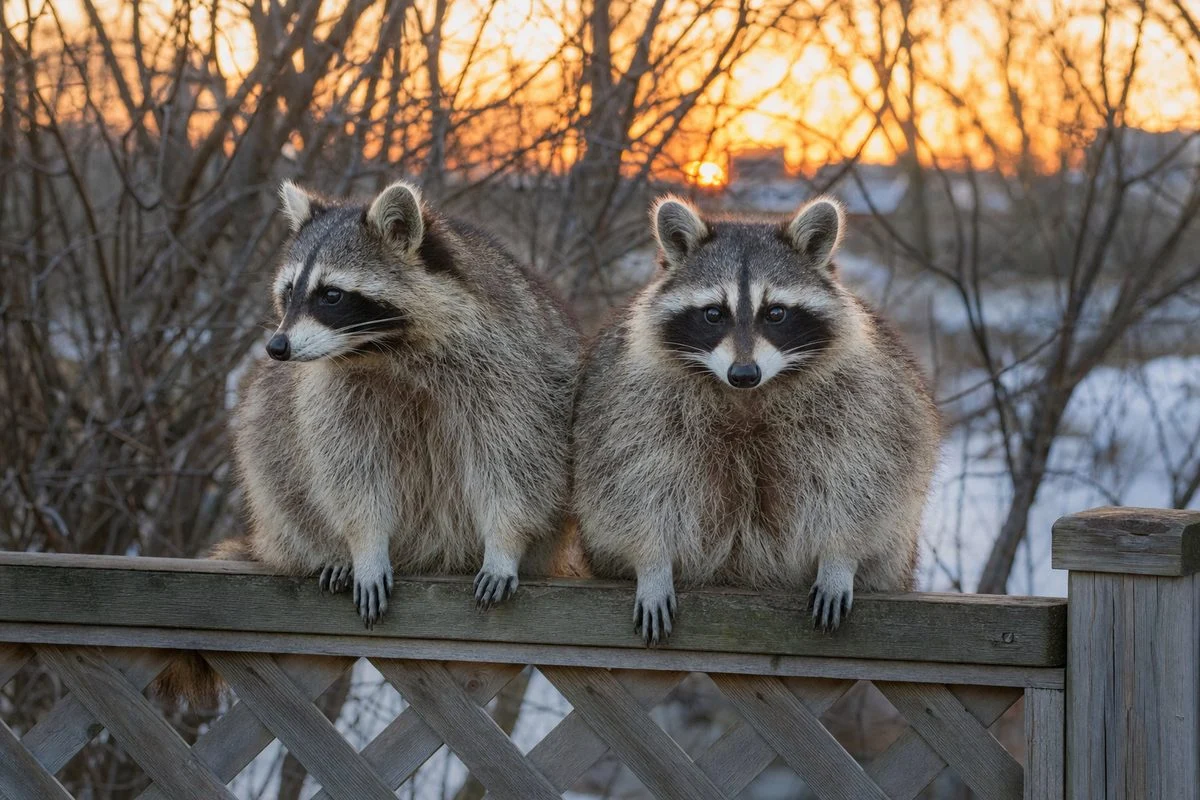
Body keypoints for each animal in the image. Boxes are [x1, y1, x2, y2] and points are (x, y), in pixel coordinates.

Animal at [573, 195, 939, 644]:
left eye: (775, 313)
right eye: (714, 314)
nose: (744, 373)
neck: (745, 397)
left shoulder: (867, 399)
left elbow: (863, 482)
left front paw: (840, 556)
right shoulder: (629, 403)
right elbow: (632, 483)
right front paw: (652, 563)